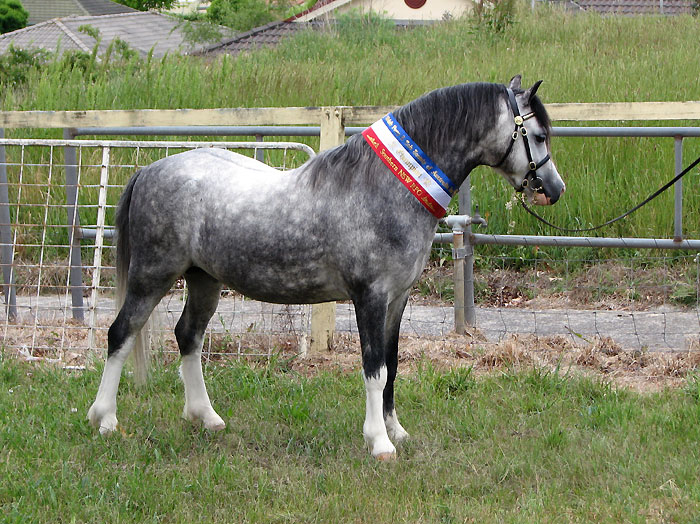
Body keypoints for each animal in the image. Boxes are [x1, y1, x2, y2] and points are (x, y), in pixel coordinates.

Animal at [88, 75, 565, 460]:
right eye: (539, 134)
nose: (554, 190)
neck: (384, 187)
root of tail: (150, 169)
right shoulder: (369, 297)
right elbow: (373, 367)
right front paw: (379, 443)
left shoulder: (397, 300)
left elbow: (392, 366)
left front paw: (396, 432)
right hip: (152, 276)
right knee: (121, 334)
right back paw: (105, 419)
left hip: (203, 280)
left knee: (188, 336)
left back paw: (206, 417)